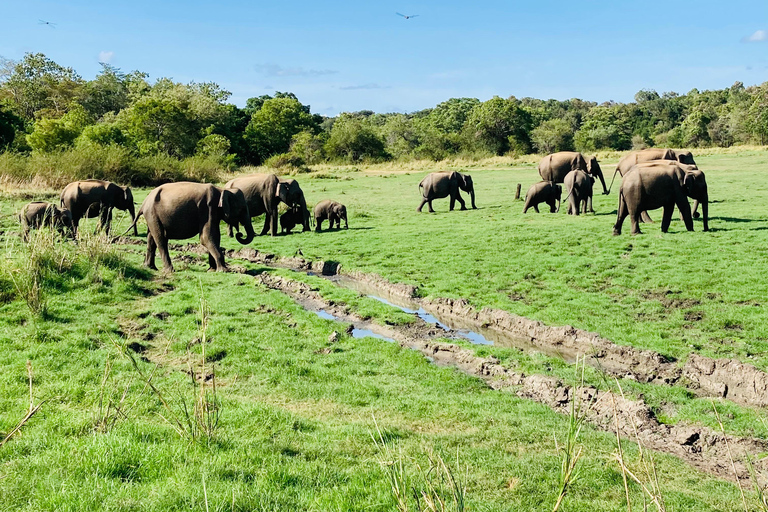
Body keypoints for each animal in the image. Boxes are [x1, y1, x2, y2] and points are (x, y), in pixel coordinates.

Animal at [123, 182, 255, 272]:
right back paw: (170, 270)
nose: (239, 234)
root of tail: (144, 203)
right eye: (243, 209)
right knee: (161, 239)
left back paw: (150, 268)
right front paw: (224, 270)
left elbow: (215, 237)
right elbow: (206, 238)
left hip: (152, 216)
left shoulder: (213, 213)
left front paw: (212, 270)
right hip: (152, 214)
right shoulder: (208, 209)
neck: (222, 189)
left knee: (151, 239)